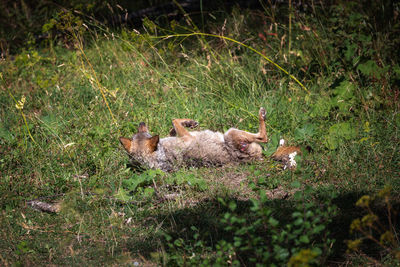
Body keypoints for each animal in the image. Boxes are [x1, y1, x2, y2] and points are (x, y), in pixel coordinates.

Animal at [119, 108, 268, 173]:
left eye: (142, 132)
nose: (141, 123)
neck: (162, 153)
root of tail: (254, 158)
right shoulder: (187, 136)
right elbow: (175, 120)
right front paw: (188, 122)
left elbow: (173, 125)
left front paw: (188, 123)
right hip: (230, 132)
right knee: (264, 137)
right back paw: (262, 113)